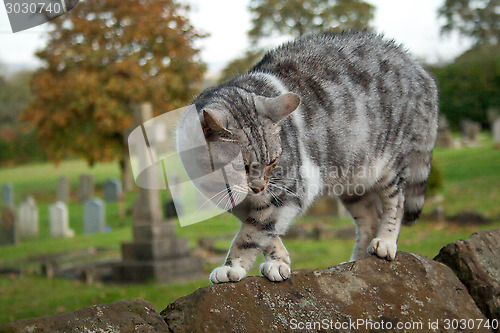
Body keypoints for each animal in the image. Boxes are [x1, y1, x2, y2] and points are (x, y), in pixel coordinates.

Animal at [176, 29, 438, 282]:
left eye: (272, 162)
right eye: (240, 167)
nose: (258, 187)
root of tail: (418, 67)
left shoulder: (287, 191)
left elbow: (251, 234)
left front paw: (232, 268)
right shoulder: (240, 204)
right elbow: (263, 232)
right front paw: (278, 261)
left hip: (389, 164)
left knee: (396, 202)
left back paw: (385, 242)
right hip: (354, 181)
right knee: (370, 218)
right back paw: (354, 262)